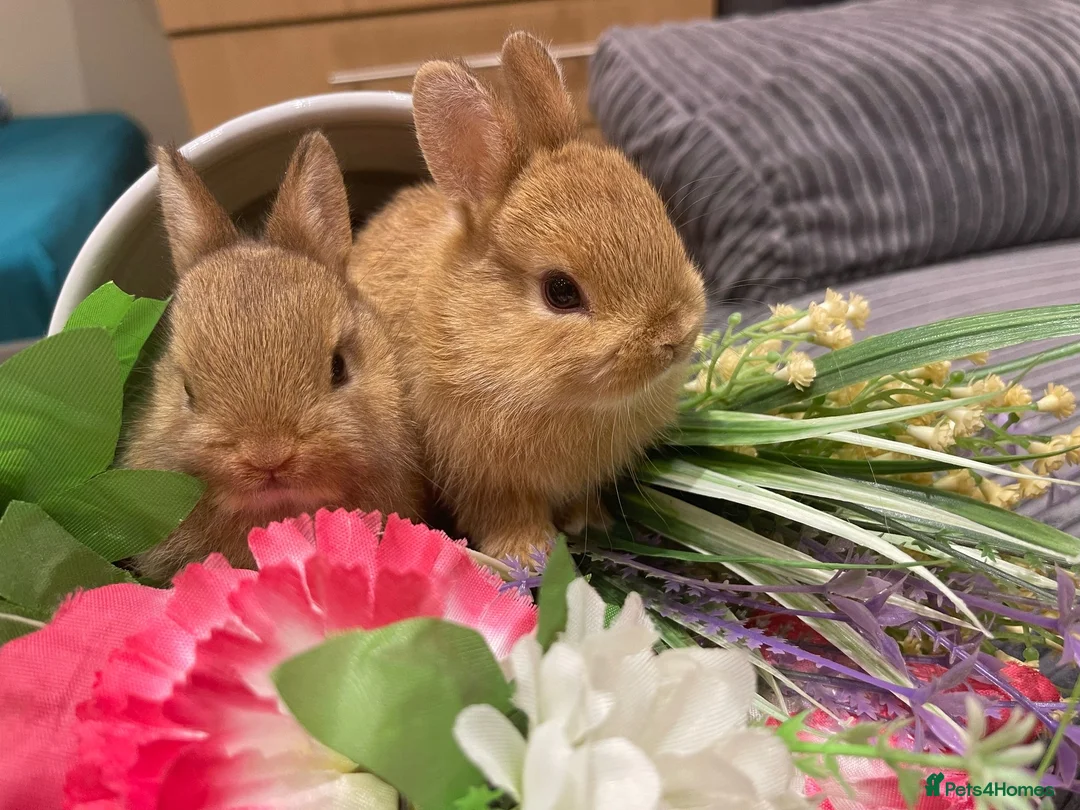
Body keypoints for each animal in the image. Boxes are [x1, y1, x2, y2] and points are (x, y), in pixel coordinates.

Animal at [349, 32, 706, 561]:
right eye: (560, 291)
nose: (675, 337)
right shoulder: (483, 478)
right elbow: (506, 515)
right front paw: (527, 554)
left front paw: (588, 521)